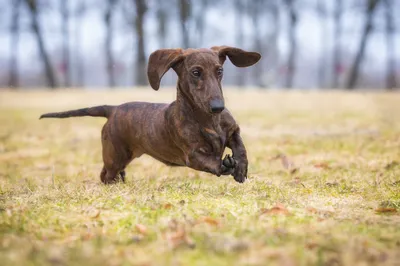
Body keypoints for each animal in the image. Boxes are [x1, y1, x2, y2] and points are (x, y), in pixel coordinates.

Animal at [39, 46, 260, 183]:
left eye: (219, 71)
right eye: (196, 72)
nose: (218, 107)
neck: (208, 119)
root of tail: (113, 108)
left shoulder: (233, 131)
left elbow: (241, 147)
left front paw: (241, 168)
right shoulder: (193, 155)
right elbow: (211, 161)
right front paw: (225, 165)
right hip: (114, 155)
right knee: (105, 174)